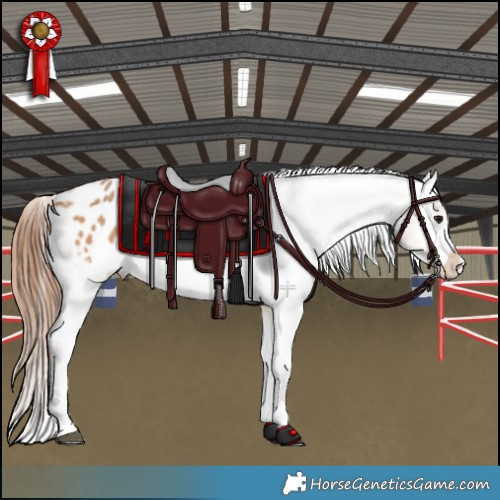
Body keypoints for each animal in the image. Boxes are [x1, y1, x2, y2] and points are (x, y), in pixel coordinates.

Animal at [7, 165, 465, 446]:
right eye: (438, 218)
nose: (457, 265)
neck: (292, 222)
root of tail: (55, 201)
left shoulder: (270, 306)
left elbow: (266, 357)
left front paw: (266, 418)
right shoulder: (288, 308)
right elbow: (284, 363)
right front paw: (285, 428)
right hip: (81, 290)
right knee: (59, 344)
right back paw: (65, 426)